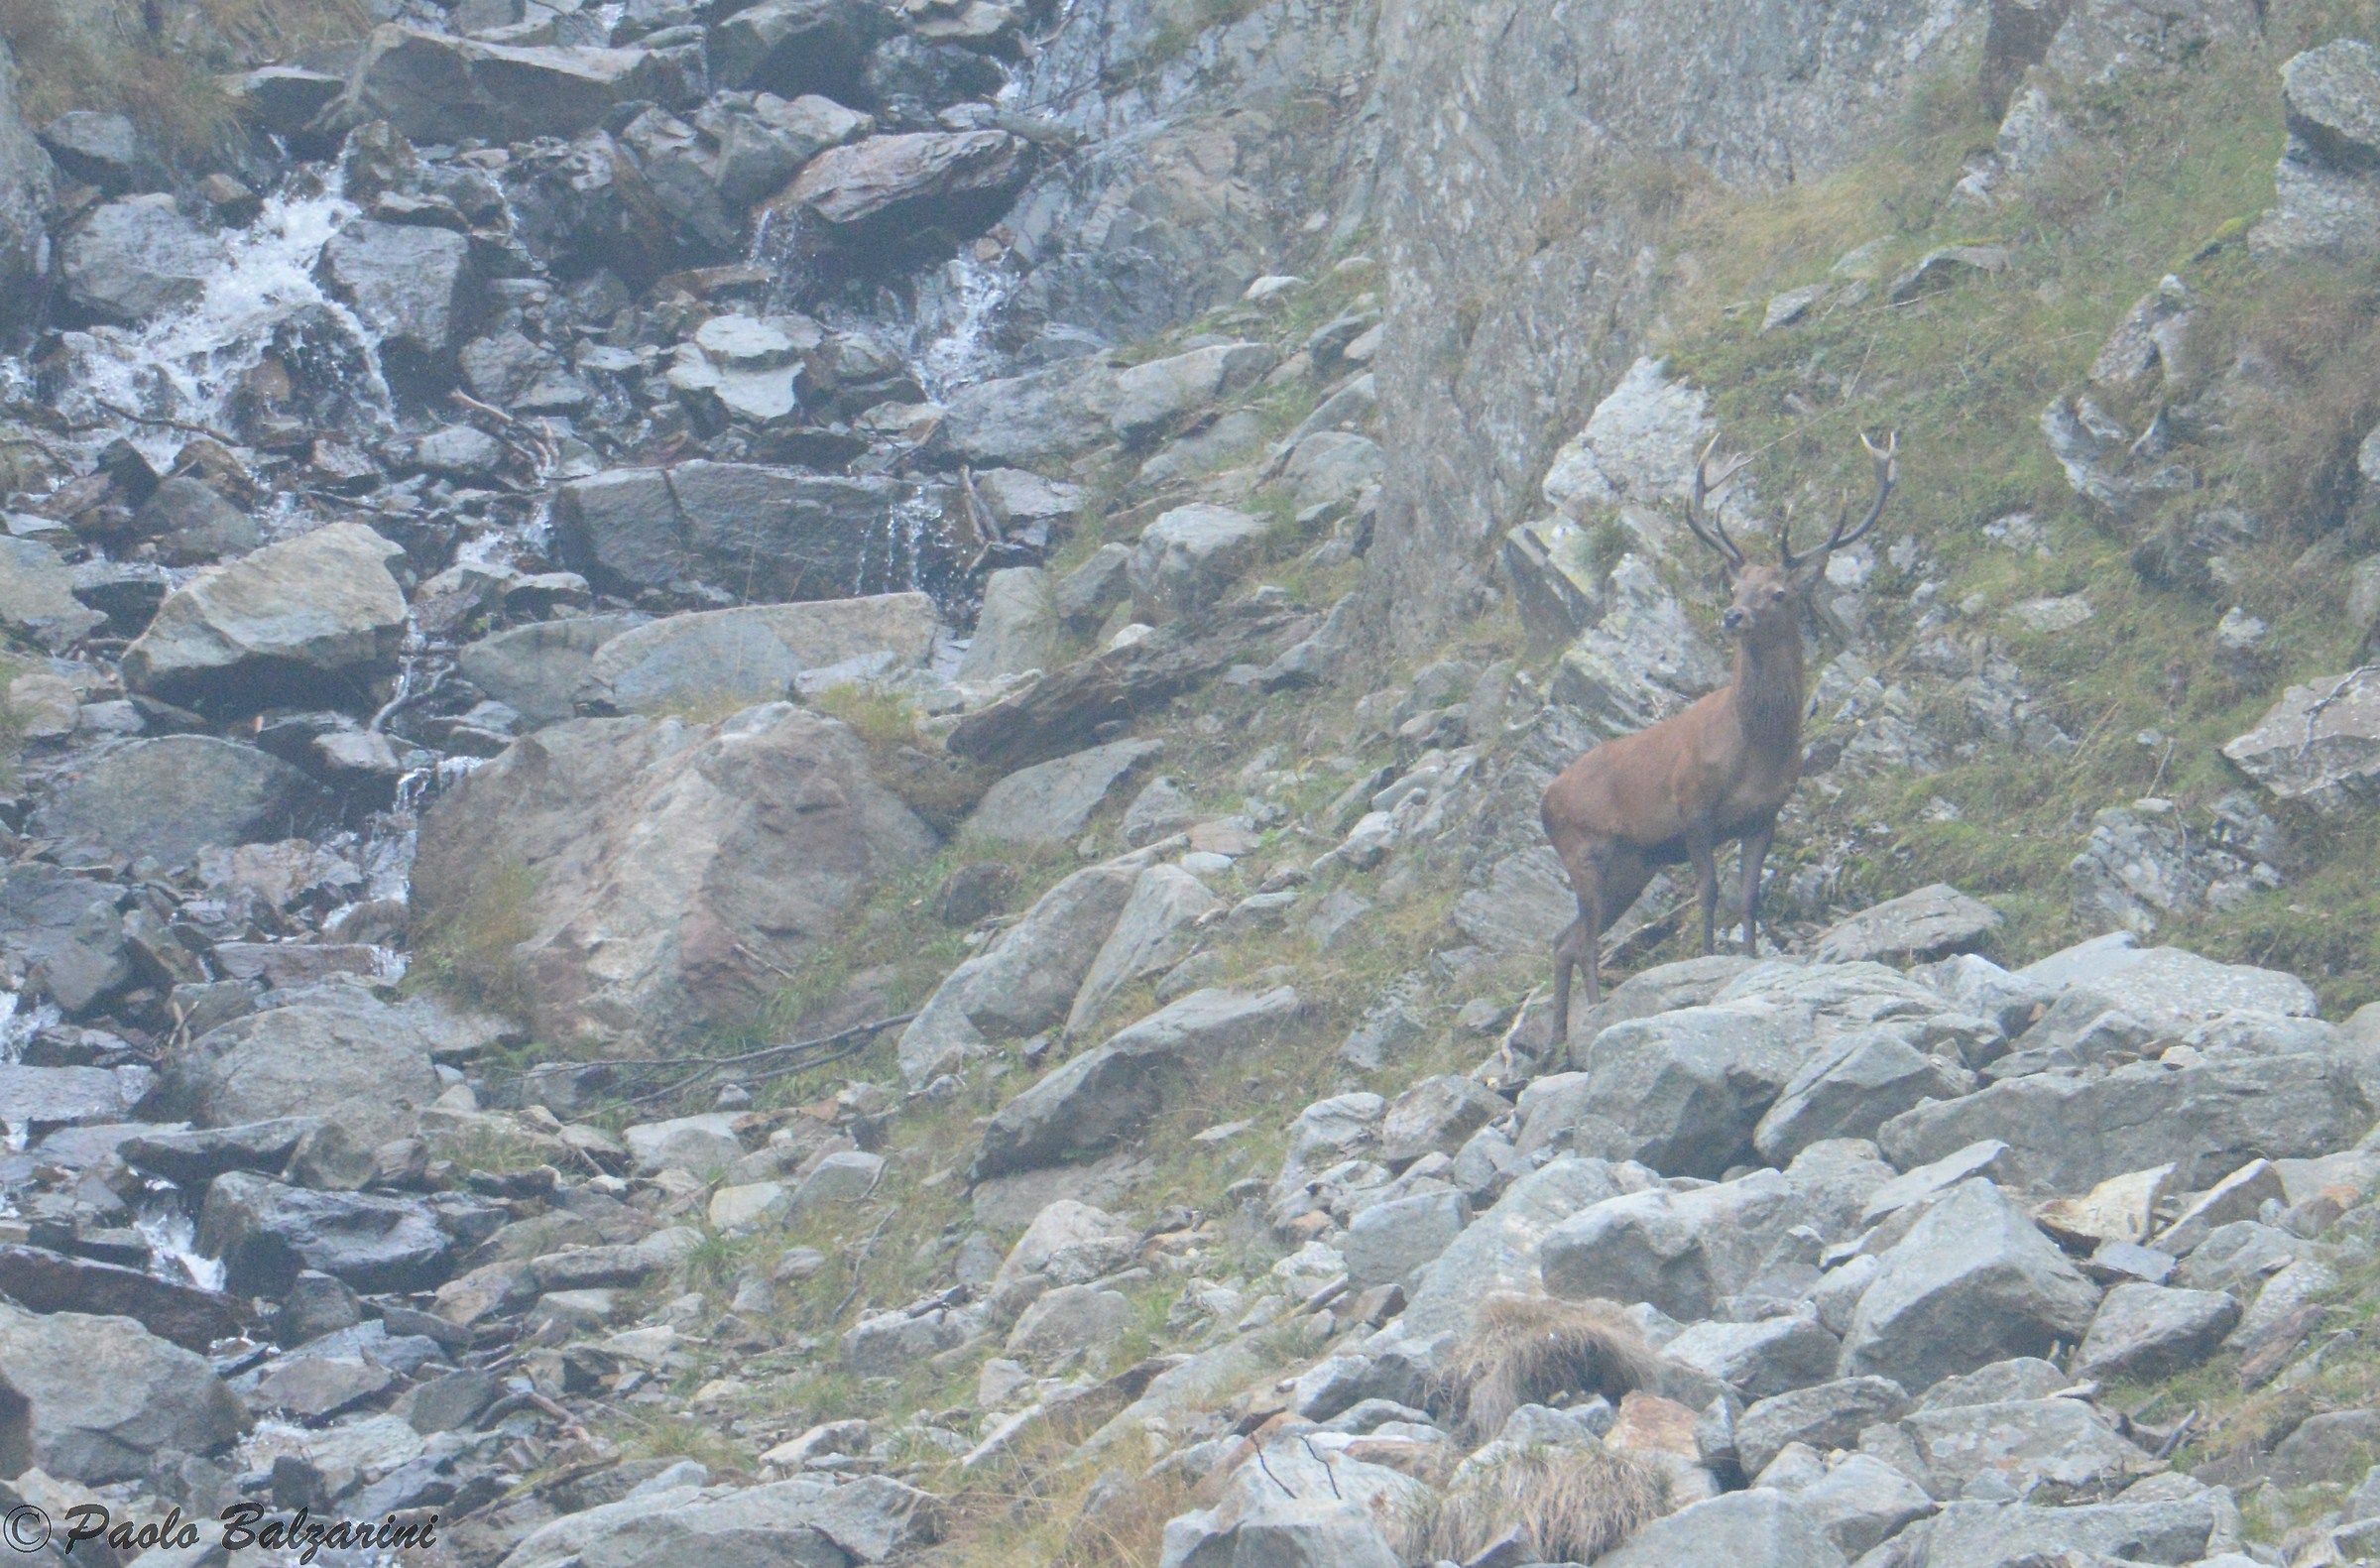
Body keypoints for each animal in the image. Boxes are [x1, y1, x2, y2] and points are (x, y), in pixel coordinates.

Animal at [1539, 430, 1899, 1039]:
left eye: (1778, 592)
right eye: (1735, 586)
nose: (1733, 616)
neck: (1756, 749)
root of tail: (1543, 801)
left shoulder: (1765, 814)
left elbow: (1748, 896)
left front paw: (1750, 959)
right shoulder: (1693, 808)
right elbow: (1708, 893)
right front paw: (1706, 960)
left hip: (1631, 868)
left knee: (1565, 940)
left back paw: (1558, 1044)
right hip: (1583, 849)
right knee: (1583, 943)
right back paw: (1593, 1013)